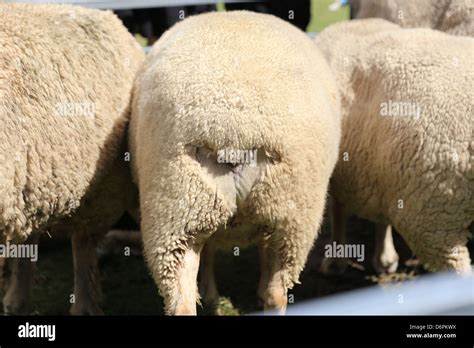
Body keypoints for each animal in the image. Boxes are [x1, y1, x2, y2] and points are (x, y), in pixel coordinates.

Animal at [0, 2, 144, 314]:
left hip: (102, 187)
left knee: (82, 243)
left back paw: (84, 304)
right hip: (33, 178)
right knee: (30, 235)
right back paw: (17, 298)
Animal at [130, 11, 340, 316]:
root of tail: (234, 126)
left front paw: (211, 293)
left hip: (183, 211)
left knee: (185, 302)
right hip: (286, 216)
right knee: (275, 293)